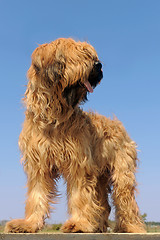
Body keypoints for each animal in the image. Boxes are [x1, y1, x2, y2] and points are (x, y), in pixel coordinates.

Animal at [5, 38, 146, 233]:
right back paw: (98, 226)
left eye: (92, 56)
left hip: (122, 172)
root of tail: (119, 125)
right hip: (100, 175)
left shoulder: (79, 163)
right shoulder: (38, 164)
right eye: (82, 55)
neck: (54, 117)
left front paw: (78, 223)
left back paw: (132, 227)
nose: (99, 65)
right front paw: (28, 224)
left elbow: (80, 195)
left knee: (125, 200)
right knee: (104, 204)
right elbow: (37, 195)